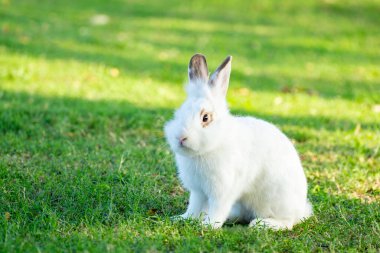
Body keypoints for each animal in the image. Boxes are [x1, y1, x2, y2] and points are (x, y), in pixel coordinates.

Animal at [164, 53, 312, 229]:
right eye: (178, 113)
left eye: (205, 118)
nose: (181, 137)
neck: (212, 146)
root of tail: (301, 210)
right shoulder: (198, 191)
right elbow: (193, 206)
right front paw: (184, 219)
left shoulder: (222, 190)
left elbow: (218, 208)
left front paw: (208, 225)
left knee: (287, 222)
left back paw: (262, 224)